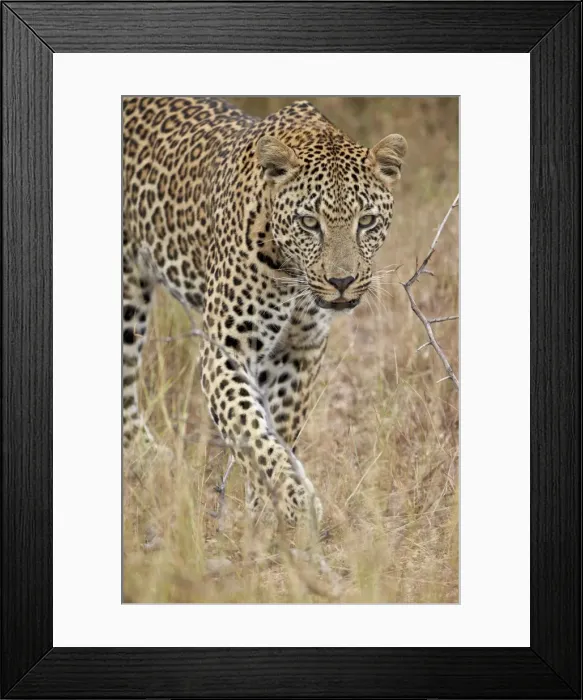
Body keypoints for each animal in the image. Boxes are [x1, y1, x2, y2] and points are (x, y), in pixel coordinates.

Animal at [123, 96, 407, 527]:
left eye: (367, 221)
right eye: (309, 222)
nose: (342, 281)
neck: (291, 274)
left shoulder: (300, 352)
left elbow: (280, 428)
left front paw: (264, 510)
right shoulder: (226, 352)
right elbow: (250, 429)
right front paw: (293, 500)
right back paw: (147, 459)